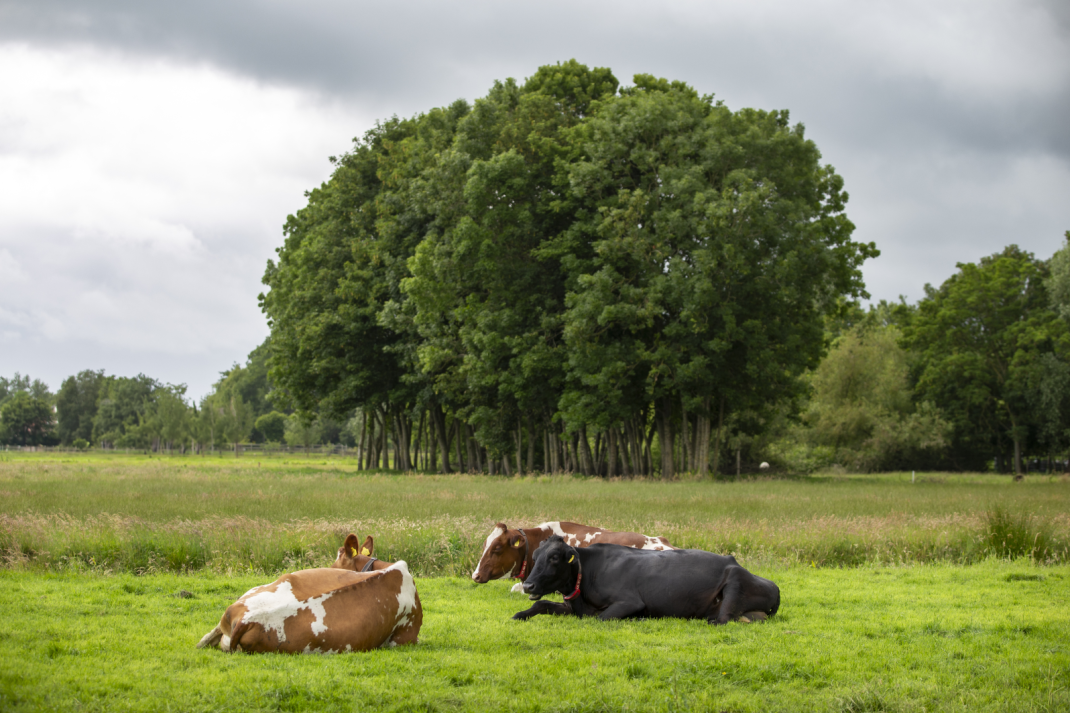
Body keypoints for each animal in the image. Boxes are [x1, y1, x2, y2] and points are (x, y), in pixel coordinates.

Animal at [511, 535, 780, 625]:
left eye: (555, 558)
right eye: (534, 556)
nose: (528, 585)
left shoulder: (629, 601)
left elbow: (600, 618)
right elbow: (542, 604)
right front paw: (519, 614)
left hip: (734, 580)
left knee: (722, 620)